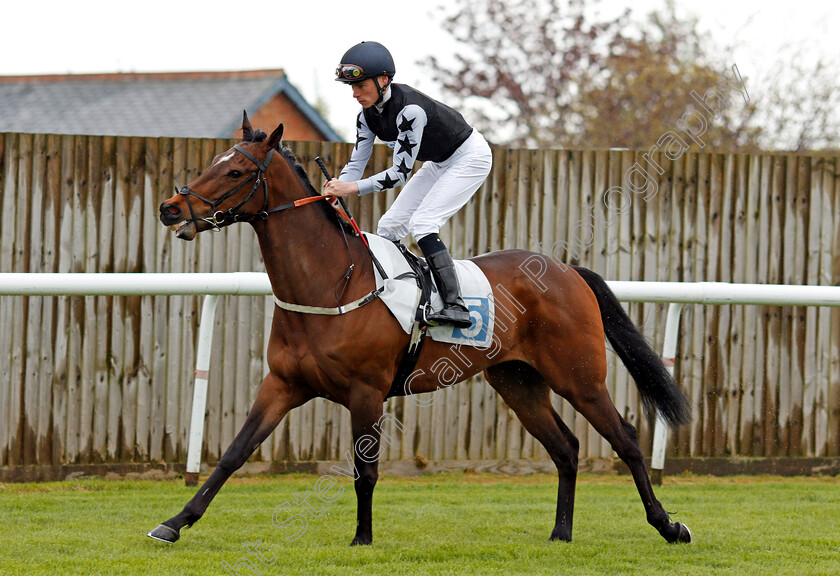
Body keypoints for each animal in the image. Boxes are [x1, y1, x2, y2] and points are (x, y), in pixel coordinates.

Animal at [148, 115, 692, 548]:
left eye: (235, 171)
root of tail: (568, 270)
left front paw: (362, 538)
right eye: (213, 162)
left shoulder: (366, 391)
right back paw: (561, 532)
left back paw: (668, 525)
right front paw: (174, 522)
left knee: (625, 439)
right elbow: (233, 454)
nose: (170, 208)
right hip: (518, 381)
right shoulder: (282, 384)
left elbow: (365, 471)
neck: (331, 281)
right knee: (566, 447)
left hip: (580, 376)